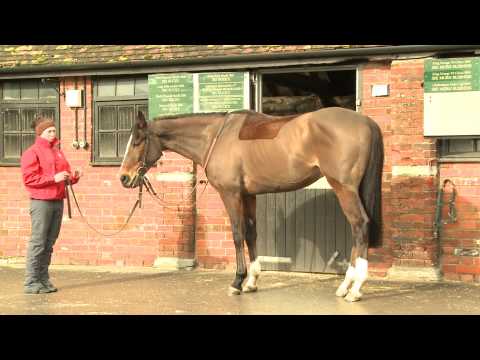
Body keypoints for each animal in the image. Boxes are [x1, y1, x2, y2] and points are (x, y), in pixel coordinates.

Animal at [119, 107, 382, 304]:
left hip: (344, 188)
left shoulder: (231, 194)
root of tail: (367, 122)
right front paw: (252, 281)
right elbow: (251, 233)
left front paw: (237, 281)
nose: (124, 178)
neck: (216, 137)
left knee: (360, 226)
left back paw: (355, 288)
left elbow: (237, 234)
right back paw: (345, 286)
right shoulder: (249, 196)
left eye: (138, 141)